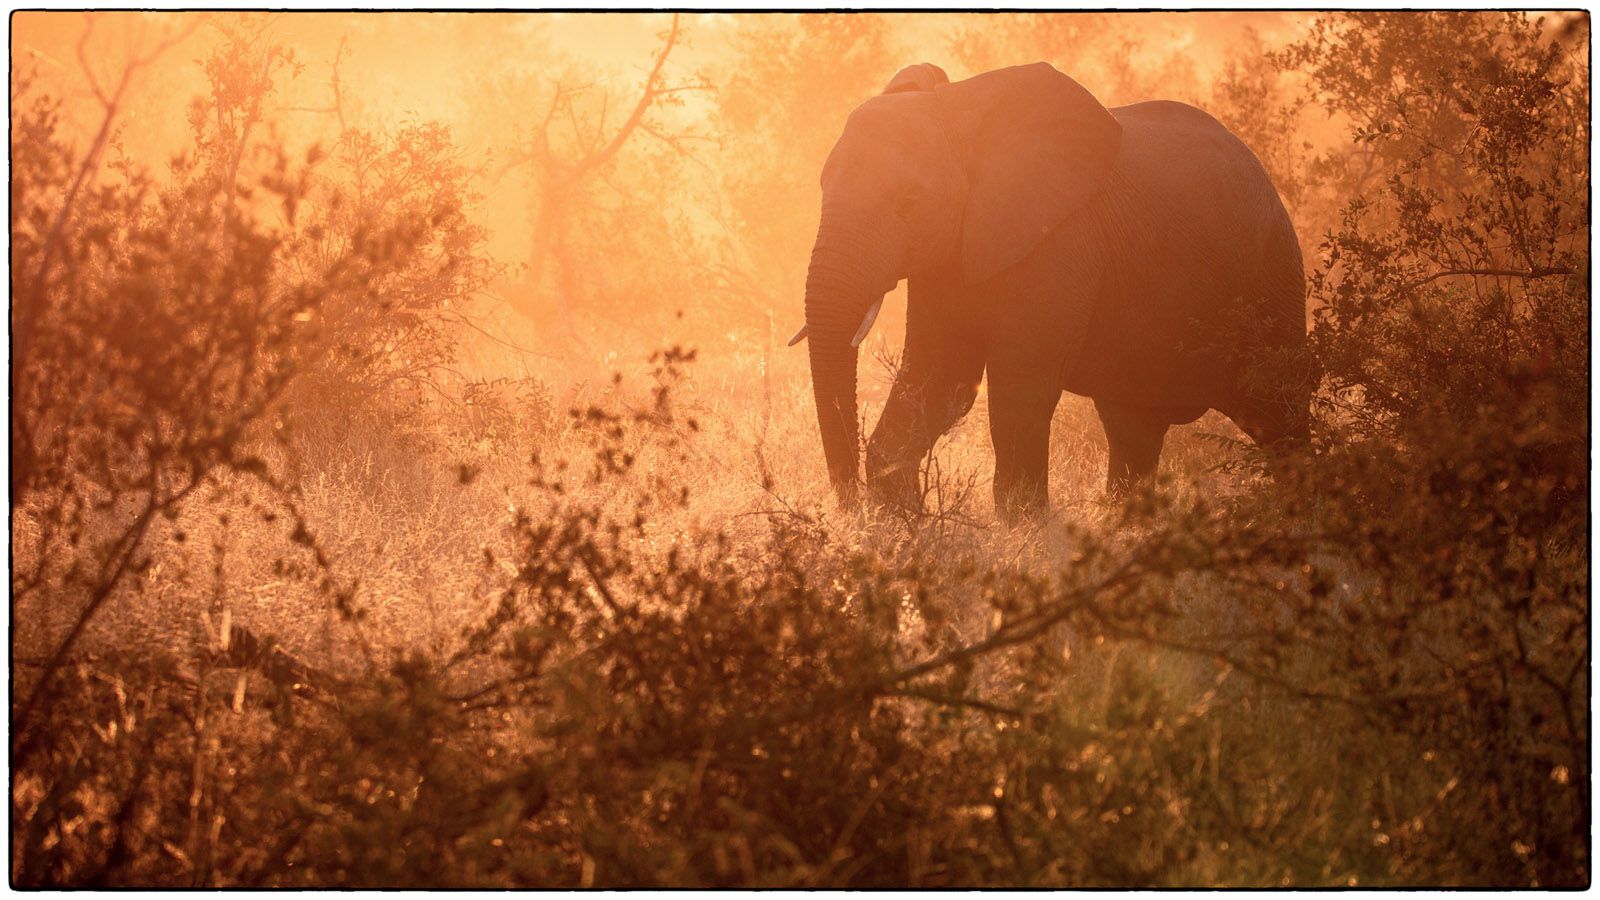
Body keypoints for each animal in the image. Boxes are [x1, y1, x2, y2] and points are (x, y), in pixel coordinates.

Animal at [790, 61, 1312, 518]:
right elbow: (939, 378)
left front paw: (1022, 528)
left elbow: (1019, 389)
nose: (850, 512)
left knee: (1278, 416)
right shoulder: (948, 258)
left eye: (909, 202)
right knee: (1133, 429)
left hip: (1273, 275)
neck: (958, 110)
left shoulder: (1057, 240)